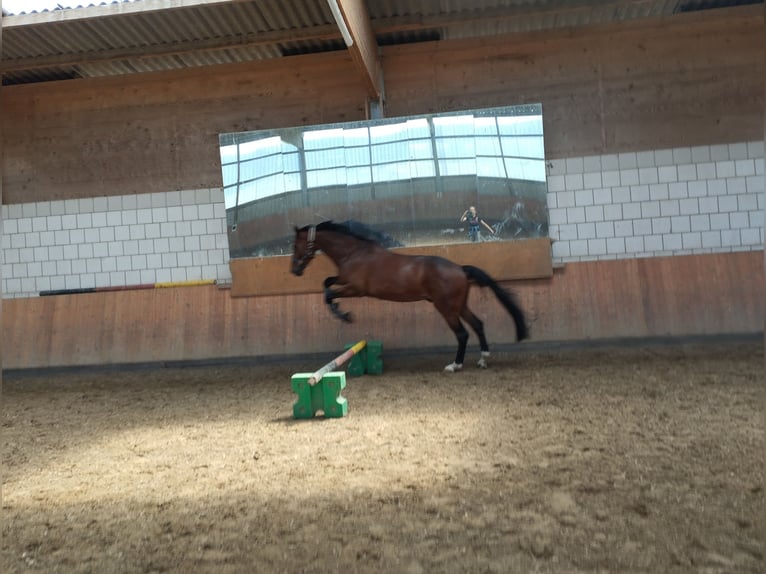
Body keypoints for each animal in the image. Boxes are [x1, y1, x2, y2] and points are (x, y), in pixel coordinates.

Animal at [292, 220, 532, 374]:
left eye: (296, 246)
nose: (294, 271)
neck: (354, 253)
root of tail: (460, 269)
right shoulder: (343, 280)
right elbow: (327, 283)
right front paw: (341, 311)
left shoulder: (356, 289)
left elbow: (328, 294)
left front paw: (344, 315)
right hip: (459, 305)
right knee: (478, 325)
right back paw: (483, 359)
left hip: (446, 308)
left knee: (462, 333)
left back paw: (455, 365)